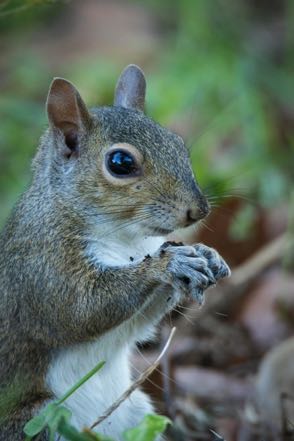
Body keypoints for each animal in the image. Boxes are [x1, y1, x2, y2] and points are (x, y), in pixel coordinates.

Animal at [0, 63, 230, 438]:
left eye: (178, 144)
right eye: (120, 162)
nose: (199, 211)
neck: (127, 240)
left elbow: (138, 325)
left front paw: (206, 254)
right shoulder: (42, 263)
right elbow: (78, 310)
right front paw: (167, 265)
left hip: (136, 415)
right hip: (37, 420)